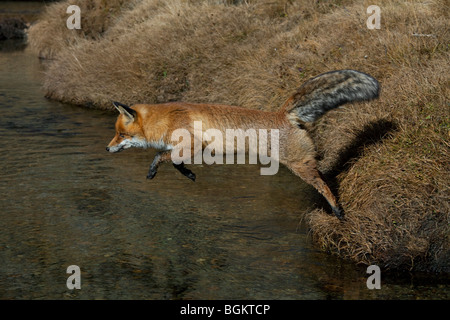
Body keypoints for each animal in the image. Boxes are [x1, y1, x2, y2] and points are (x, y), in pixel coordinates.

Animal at [107, 69, 378, 220]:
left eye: (121, 134)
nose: (107, 149)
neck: (167, 119)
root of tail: (282, 114)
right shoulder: (192, 150)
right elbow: (174, 161)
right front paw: (189, 174)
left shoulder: (193, 146)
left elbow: (162, 157)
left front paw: (154, 170)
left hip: (300, 165)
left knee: (324, 185)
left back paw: (338, 211)